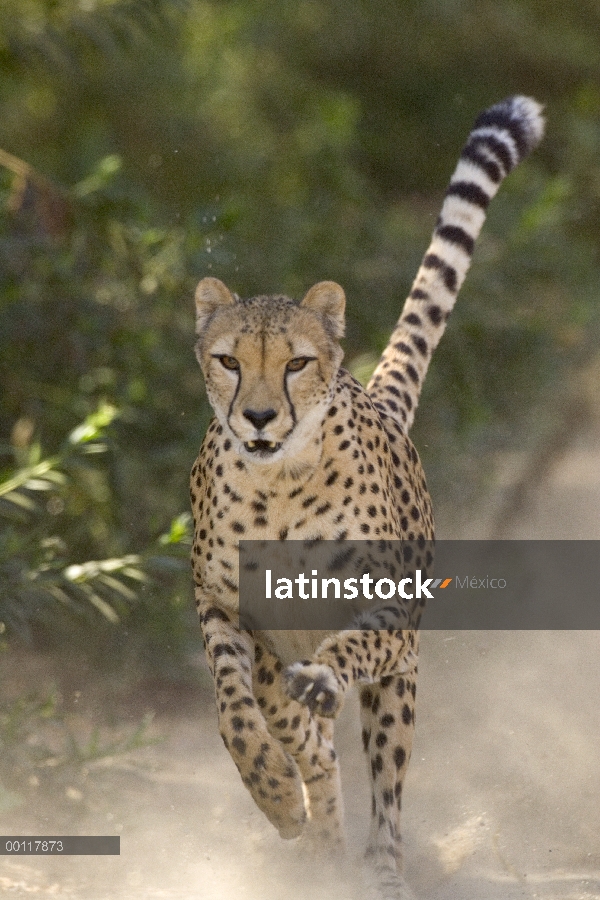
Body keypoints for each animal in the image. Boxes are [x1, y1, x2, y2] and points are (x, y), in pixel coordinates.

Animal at [191, 95, 544, 896]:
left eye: (295, 363)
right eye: (229, 360)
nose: (260, 418)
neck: (277, 490)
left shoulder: (389, 613)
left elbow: (347, 648)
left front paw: (323, 684)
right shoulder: (221, 604)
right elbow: (235, 713)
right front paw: (276, 792)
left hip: (402, 679)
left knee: (386, 785)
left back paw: (378, 867)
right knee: (301, 736)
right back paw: (313, 822)